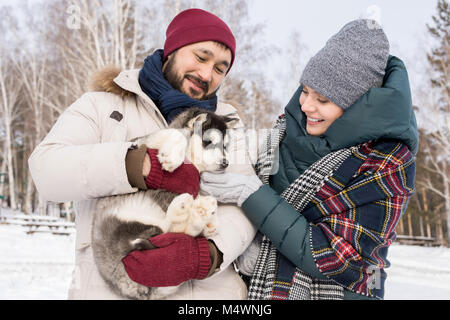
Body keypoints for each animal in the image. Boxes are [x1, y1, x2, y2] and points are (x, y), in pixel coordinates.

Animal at [91, 108, 239, 300]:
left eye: (225, 146)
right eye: (207, 141)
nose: (225, 163)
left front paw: (210, 219)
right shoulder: (148, 142)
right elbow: (175, 134)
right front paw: (172, 158)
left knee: (178, 233)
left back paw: (200, 213)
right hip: (127, 219)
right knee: (167, 227)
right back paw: (188, 209)